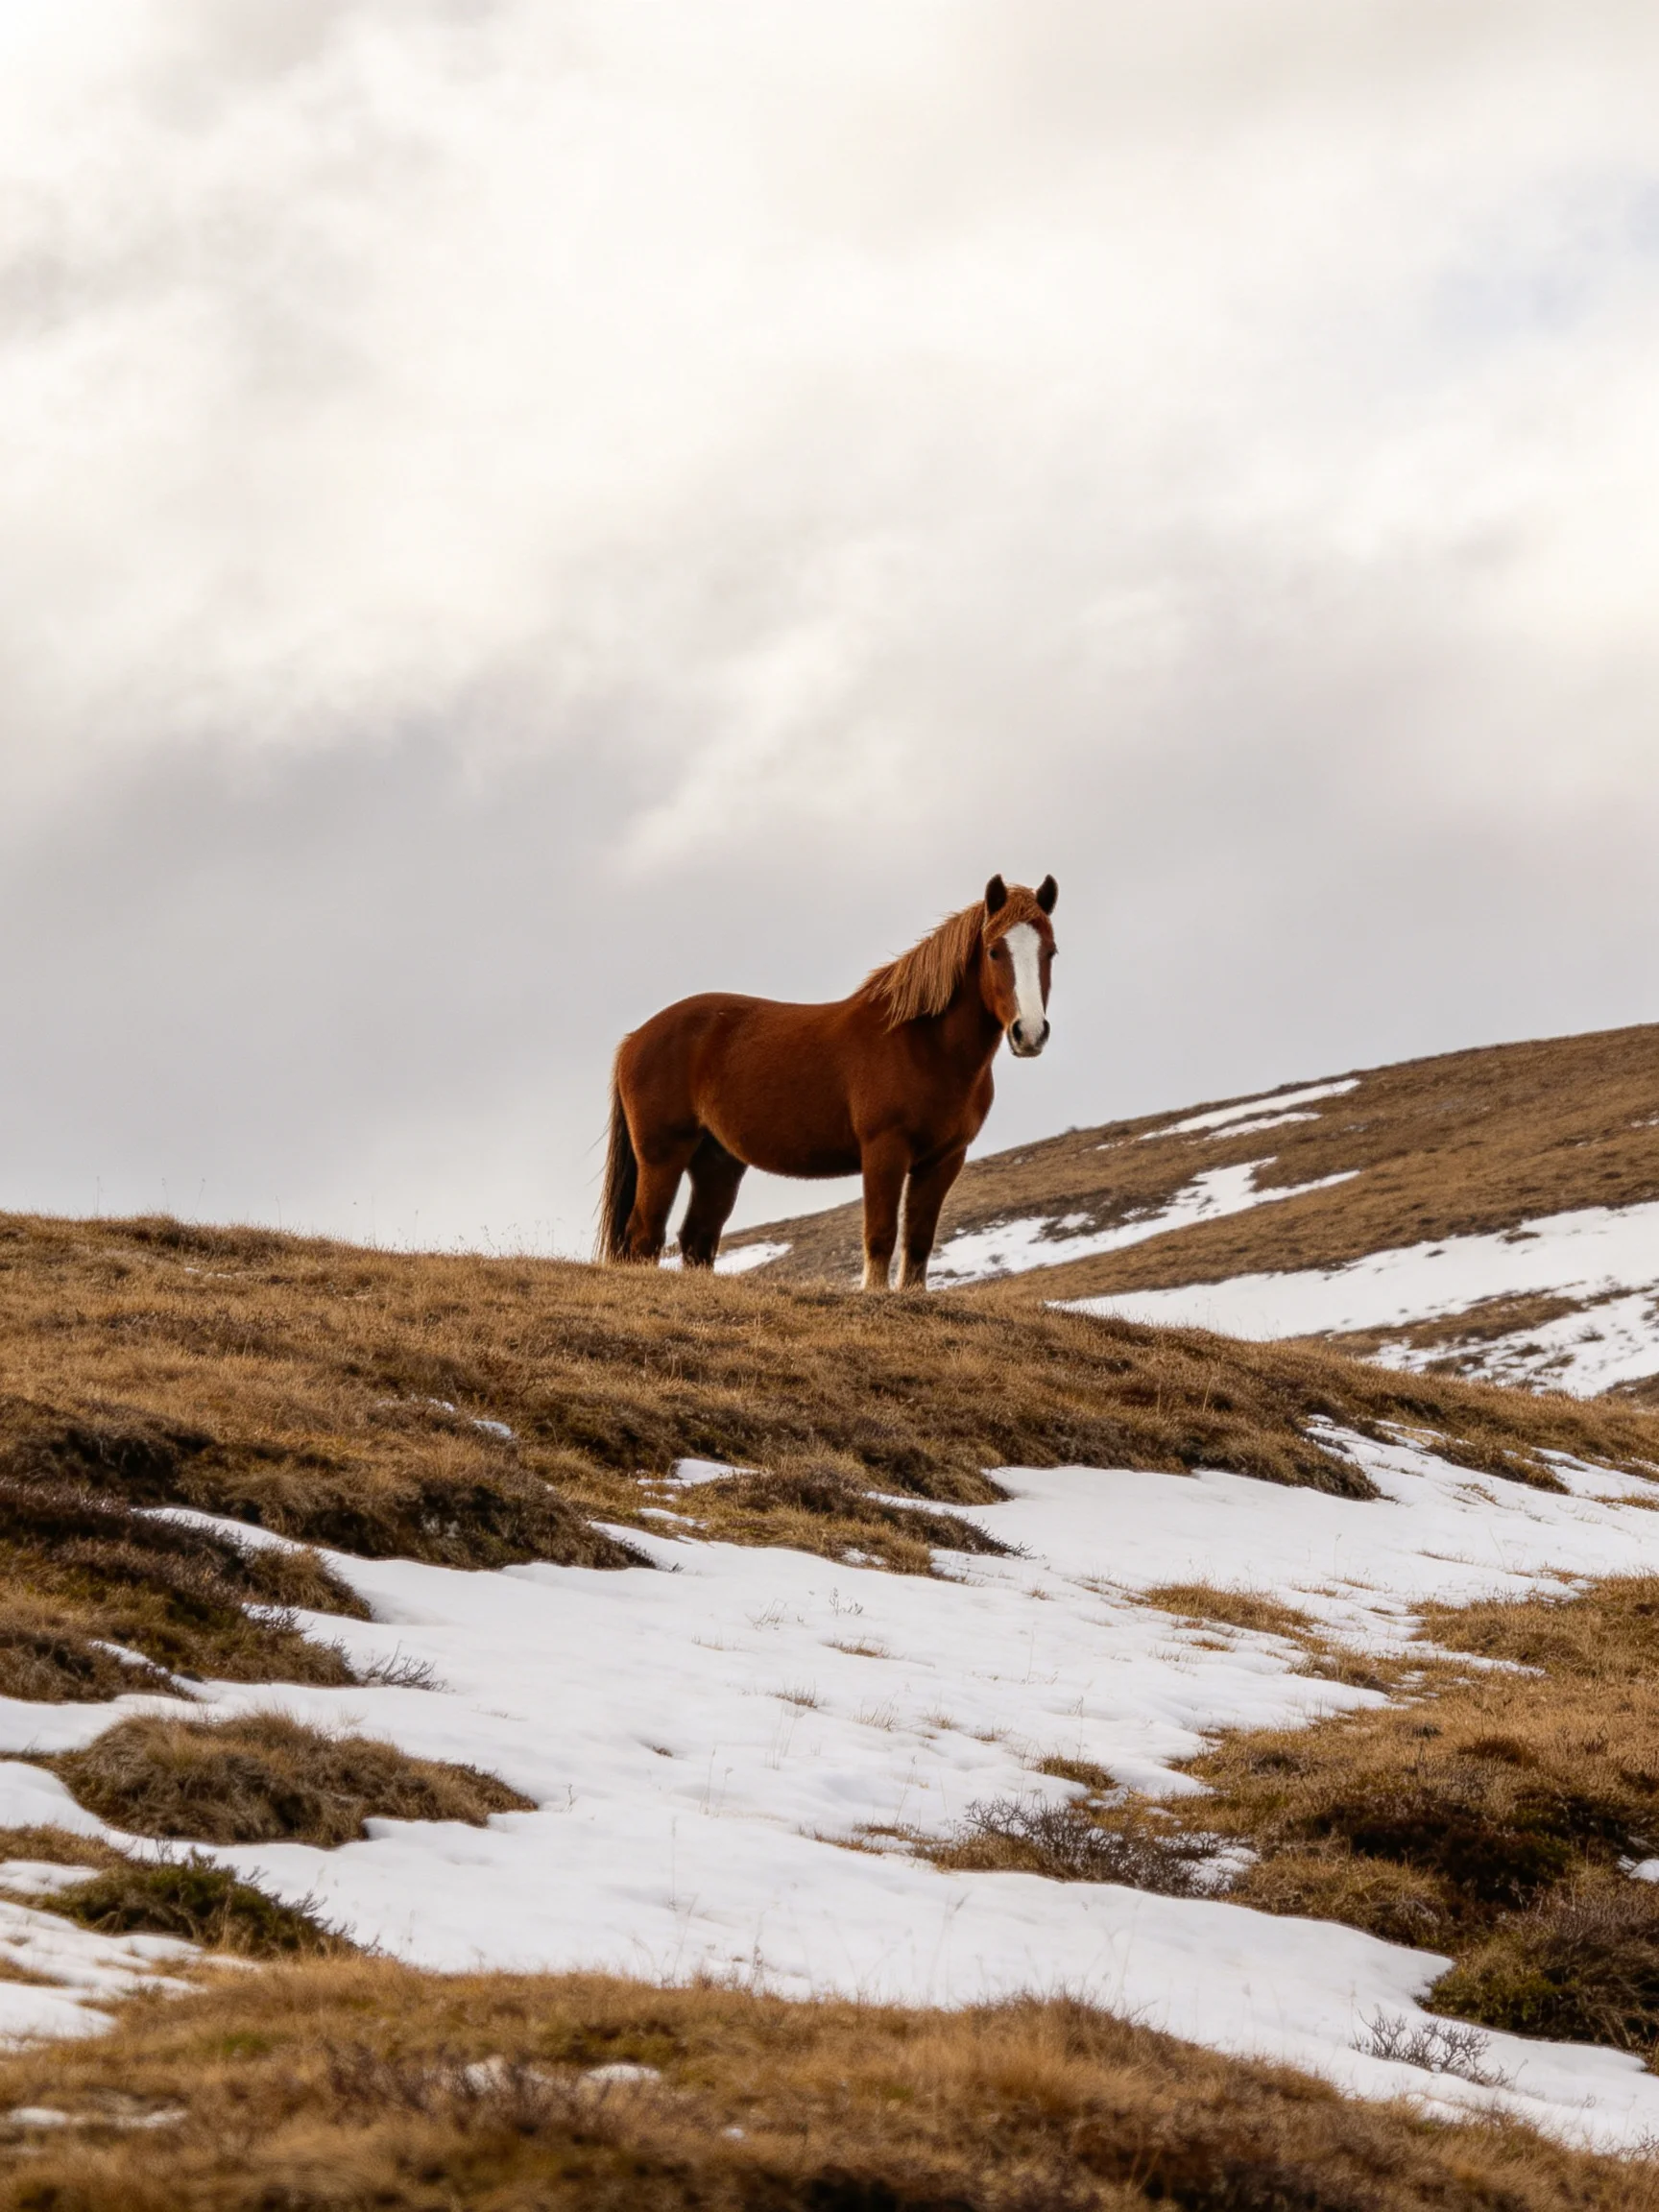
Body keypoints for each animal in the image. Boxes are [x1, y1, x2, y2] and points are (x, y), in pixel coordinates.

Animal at [597, 873, 1058, 1290]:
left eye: (1051, 951)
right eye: (994, 951)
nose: (1030, 1033)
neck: (924, 1046)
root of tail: (635, 1039)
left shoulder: (944, 1160)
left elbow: (919, 1241)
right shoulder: (884, 1150)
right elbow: (881, 1234)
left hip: (717, 1161)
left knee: (697, 1239)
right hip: (663, 1155)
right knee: (644, 1235)